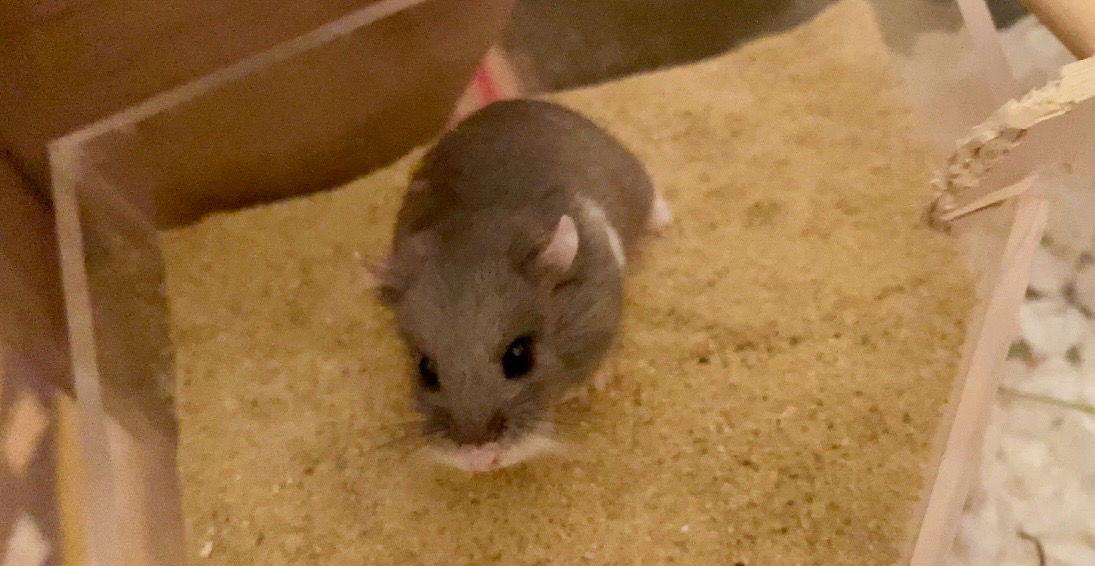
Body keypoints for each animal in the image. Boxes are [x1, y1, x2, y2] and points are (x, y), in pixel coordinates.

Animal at [373, 99, 671, 472]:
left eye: (519, 356)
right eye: (426, 369)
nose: (480, 461)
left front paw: (592, 385)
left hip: (634, 175)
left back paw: (665, 219)